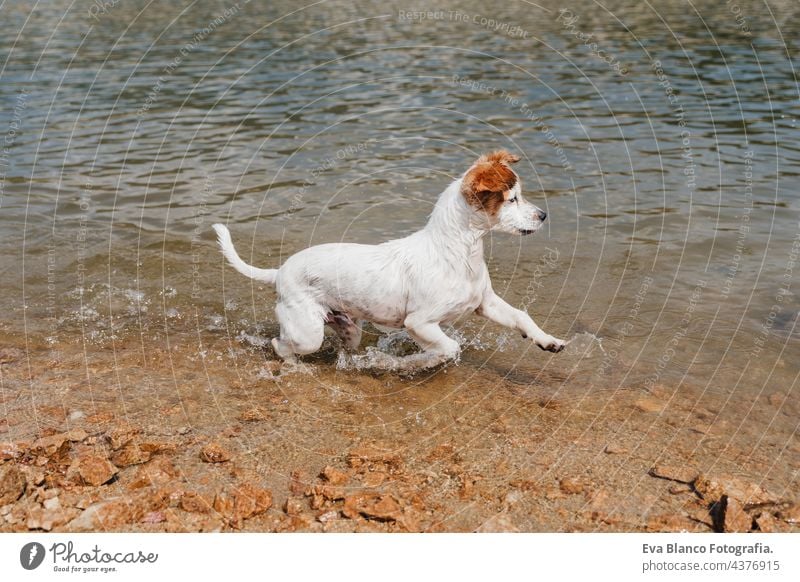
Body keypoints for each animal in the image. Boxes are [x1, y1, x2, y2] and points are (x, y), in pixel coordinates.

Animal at [212, 151, 564, 374]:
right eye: (512, 199)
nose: (544, 215)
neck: (458, 252)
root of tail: (279, 272)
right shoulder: (419, 323)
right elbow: (449, 348)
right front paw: (412, 364)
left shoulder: (485, 303)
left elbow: (521, 318)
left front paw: (548, 341)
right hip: (307, 333)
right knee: (280, 344)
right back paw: (296, 366)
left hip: (347, 327)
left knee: (343, 342)